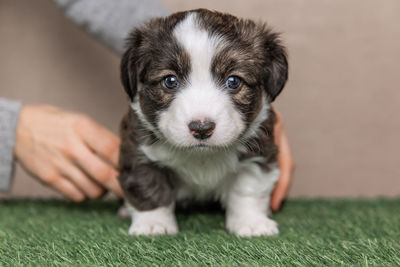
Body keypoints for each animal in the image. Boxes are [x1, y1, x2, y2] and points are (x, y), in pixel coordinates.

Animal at [118, 9, 288, 238]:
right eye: (170, 81)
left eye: (233, 81)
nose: (201, 128)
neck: (202, 156)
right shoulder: (138, 150)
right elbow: (148, 186)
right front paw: (153, 223)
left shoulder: (259, 151)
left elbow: (248, 188)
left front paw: (252, 223)